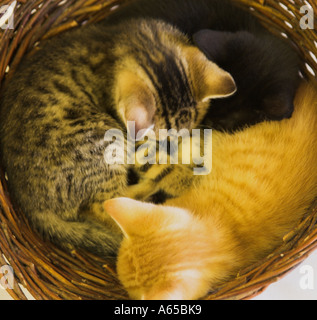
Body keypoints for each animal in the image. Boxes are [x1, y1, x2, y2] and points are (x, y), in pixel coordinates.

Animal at [0, 18, 235, 258]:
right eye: (161, 142)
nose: (174, 147)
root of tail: (29, 203)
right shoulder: (135, 142)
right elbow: (160, 166)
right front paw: (189, 179)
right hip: (101, 140)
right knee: (104, 206)